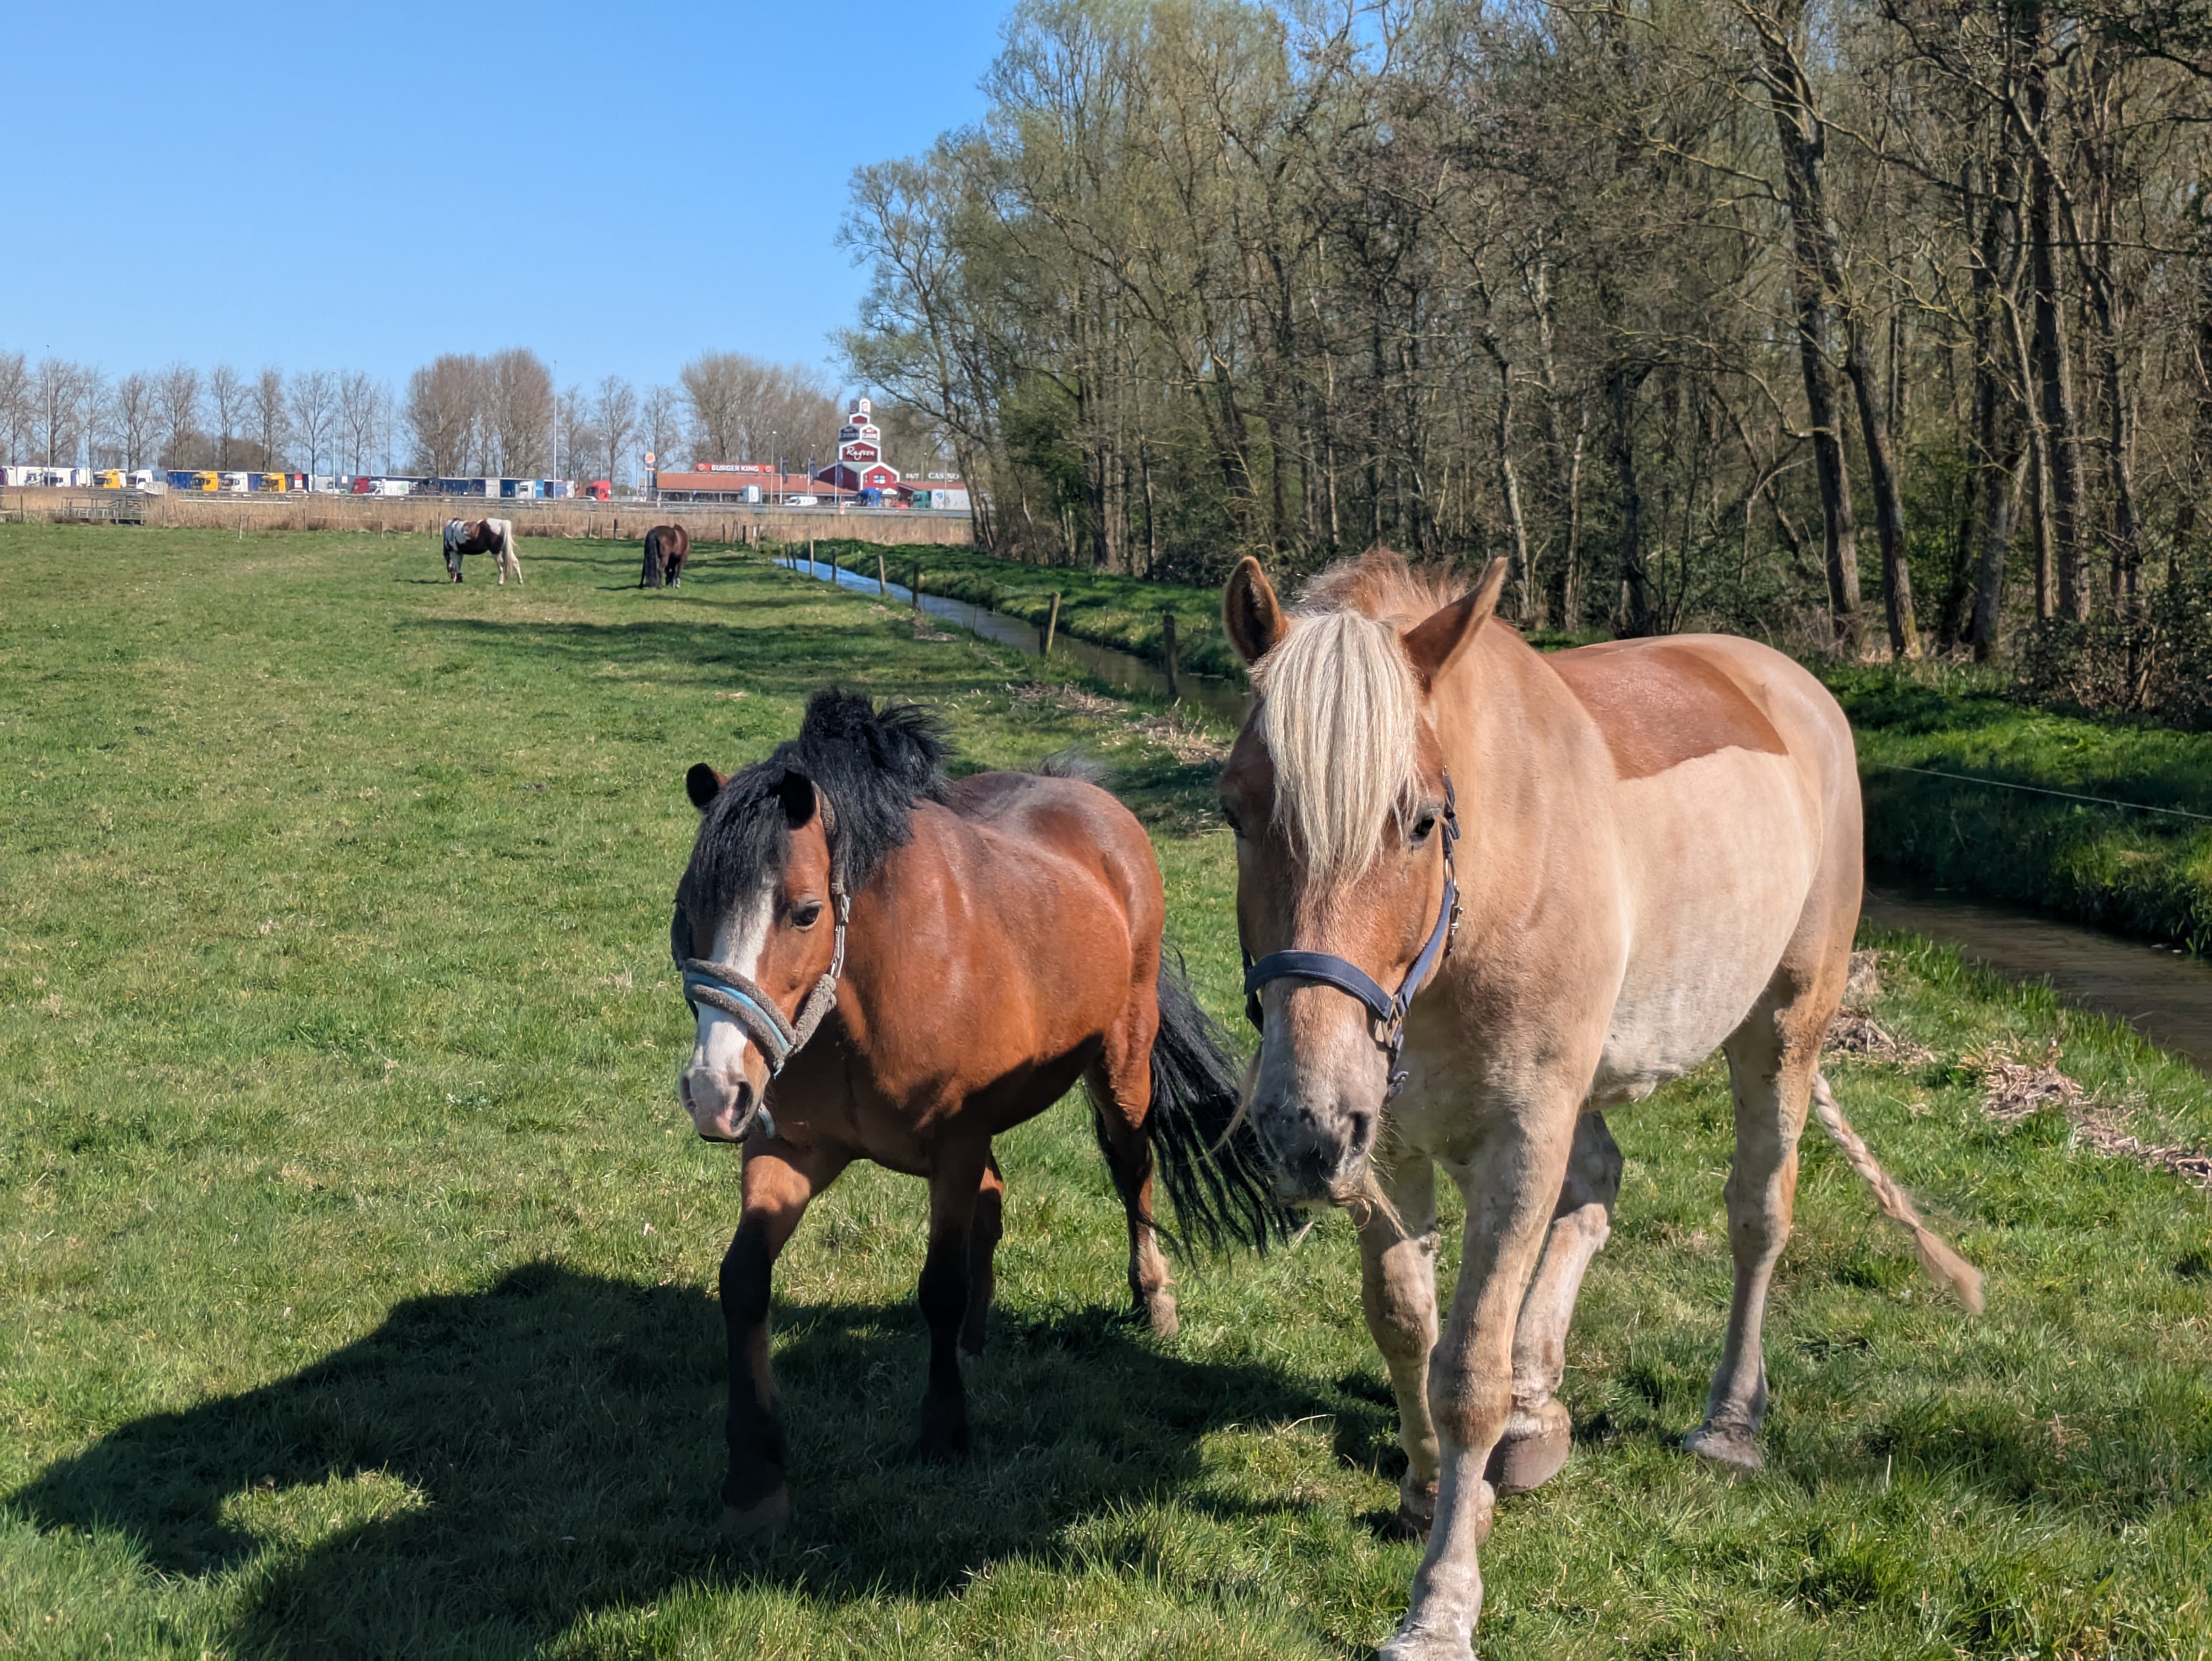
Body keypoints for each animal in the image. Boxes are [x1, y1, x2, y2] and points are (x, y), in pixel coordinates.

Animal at [442, 517, 521, 584]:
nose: (453, 580)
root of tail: (502, 523)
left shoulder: (453, 552)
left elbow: (456, 566)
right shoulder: (459, 553)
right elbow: (459, 565)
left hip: (496, 552)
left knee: (501, 566)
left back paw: (500, 582)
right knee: (515, 562)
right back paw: (520, 581)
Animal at [639, 524, 690, 589]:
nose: (668, 583)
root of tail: (655, 531)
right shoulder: (682, 559)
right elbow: (679, 571)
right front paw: (677, 584)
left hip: (646, 556)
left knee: (644, 569)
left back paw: (641, 585)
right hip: (665, 558)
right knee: (660, 570)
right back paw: (660, 586)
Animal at [672, 688, 1288, 1537]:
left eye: (803, 912)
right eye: (687, 908)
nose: (714, 1089)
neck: (869, 993)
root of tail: (1088, 797)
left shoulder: (954, 1148)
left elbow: (937, 1285)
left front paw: (943, 1431)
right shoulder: (788, 1153)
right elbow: (742, 1283)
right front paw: (754, 1480)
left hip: (1122, 1068)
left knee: (1133, 1171)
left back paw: (1152, 1298)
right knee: (995, 1207)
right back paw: (973, 1337)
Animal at [1216, 548, 1981, 1661]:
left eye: (1417, 819)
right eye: (1233, 810)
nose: (1296, 1124)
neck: (1485, 882)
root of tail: (1787, 682)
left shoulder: (1517, 1136)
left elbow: (1466, 1371)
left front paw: (1440, 1603)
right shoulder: (1387, 1141)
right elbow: (1403, 1322)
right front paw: (1427, 1488)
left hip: (1781, 1030)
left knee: (1757, 1216)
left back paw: (1728, 1421)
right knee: (1599, 1187)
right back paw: (1540, 1410)